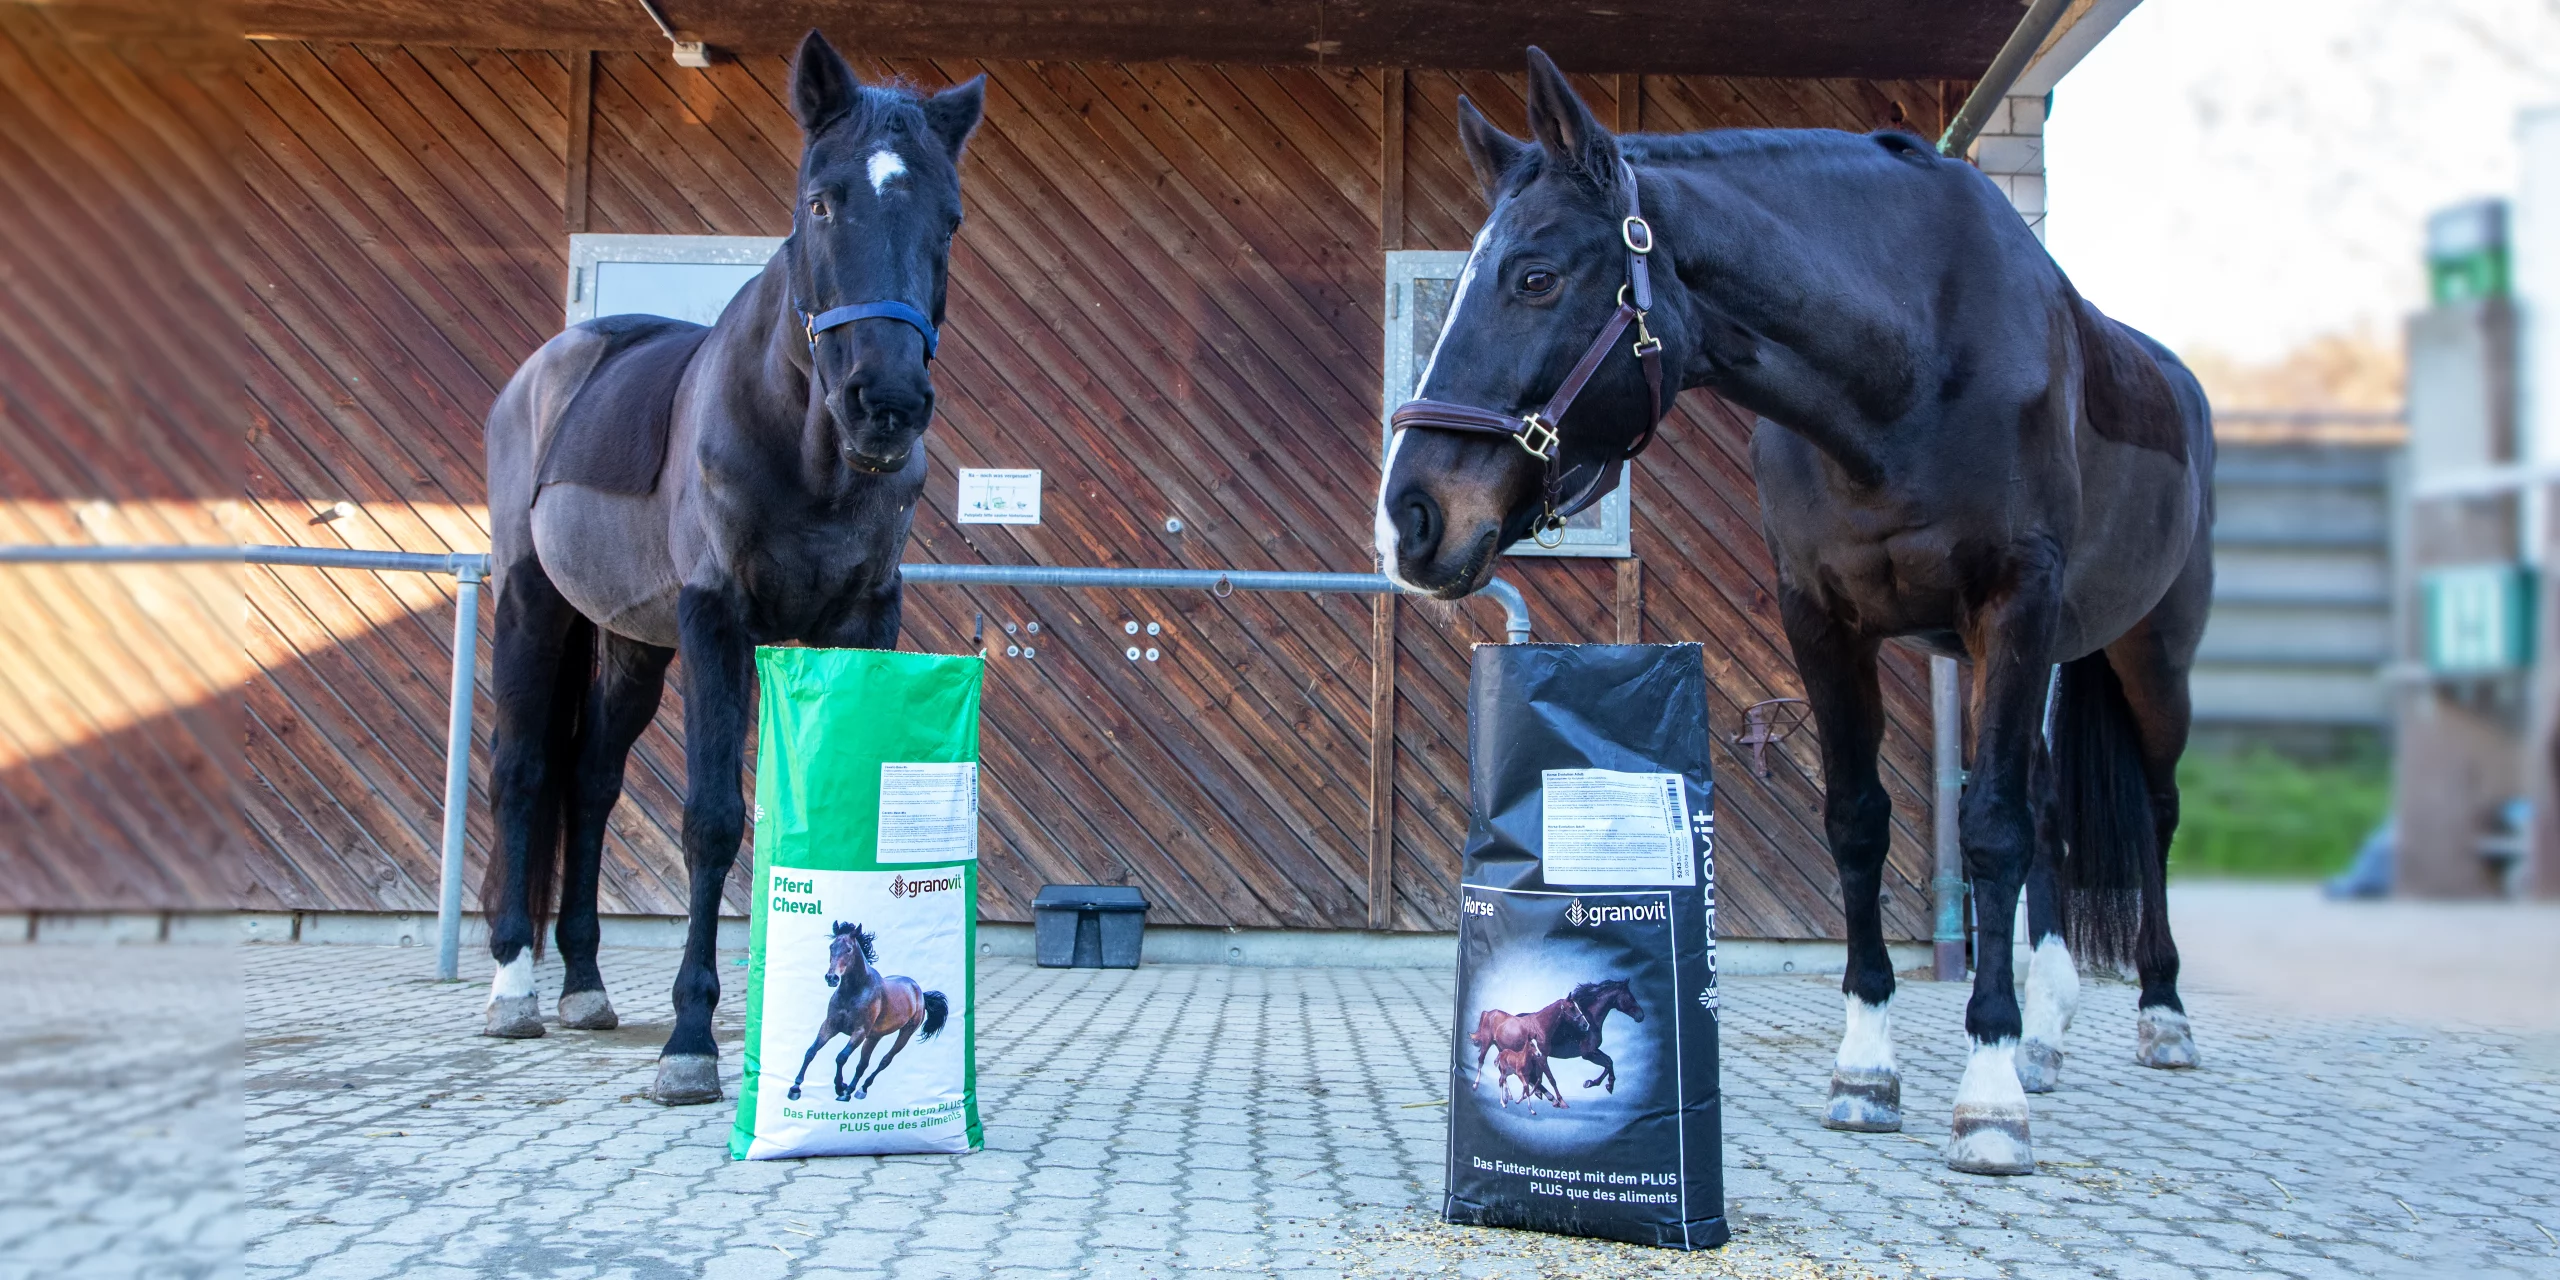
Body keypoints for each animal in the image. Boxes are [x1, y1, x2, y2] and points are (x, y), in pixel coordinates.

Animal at [783, 921, 957, 1100]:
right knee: (863, 1064)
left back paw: (860, 1089)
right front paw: (795, 1087)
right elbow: (811, 1051)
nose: (832, 978)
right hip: (874, 1037)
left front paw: (839, 1086)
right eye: (831, 946)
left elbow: (841, 1057)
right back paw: (851, 1089)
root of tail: (920, 994)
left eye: (849, 949)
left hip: (905, 1033)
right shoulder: (831, 1025)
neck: (854, 992)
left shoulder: (859, 1032)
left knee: (884, 1061)